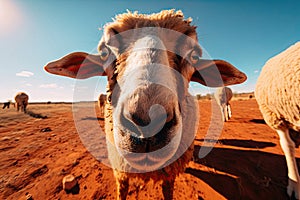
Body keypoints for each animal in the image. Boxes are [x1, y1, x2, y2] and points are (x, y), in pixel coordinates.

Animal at [44, 9, 246, 200]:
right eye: (104, 52)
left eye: (194, 55)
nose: (147, 125)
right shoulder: (120, 169)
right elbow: (122, 192)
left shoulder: (169, 175)